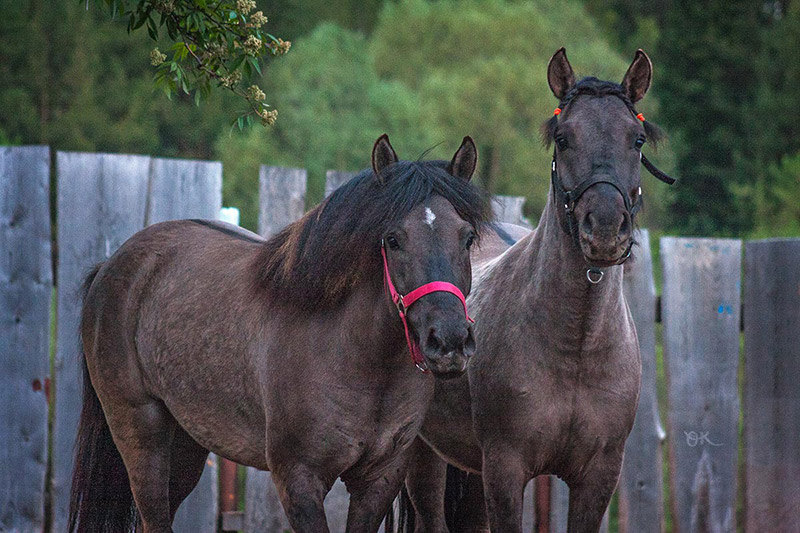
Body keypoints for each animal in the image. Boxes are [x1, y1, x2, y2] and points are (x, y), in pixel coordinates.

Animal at [406, 47, 676, 528]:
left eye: (638, 140)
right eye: (564, 138)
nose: (604, 229)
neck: (576, 346)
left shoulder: (597, 478)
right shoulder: (505, 470)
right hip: (423, 455)